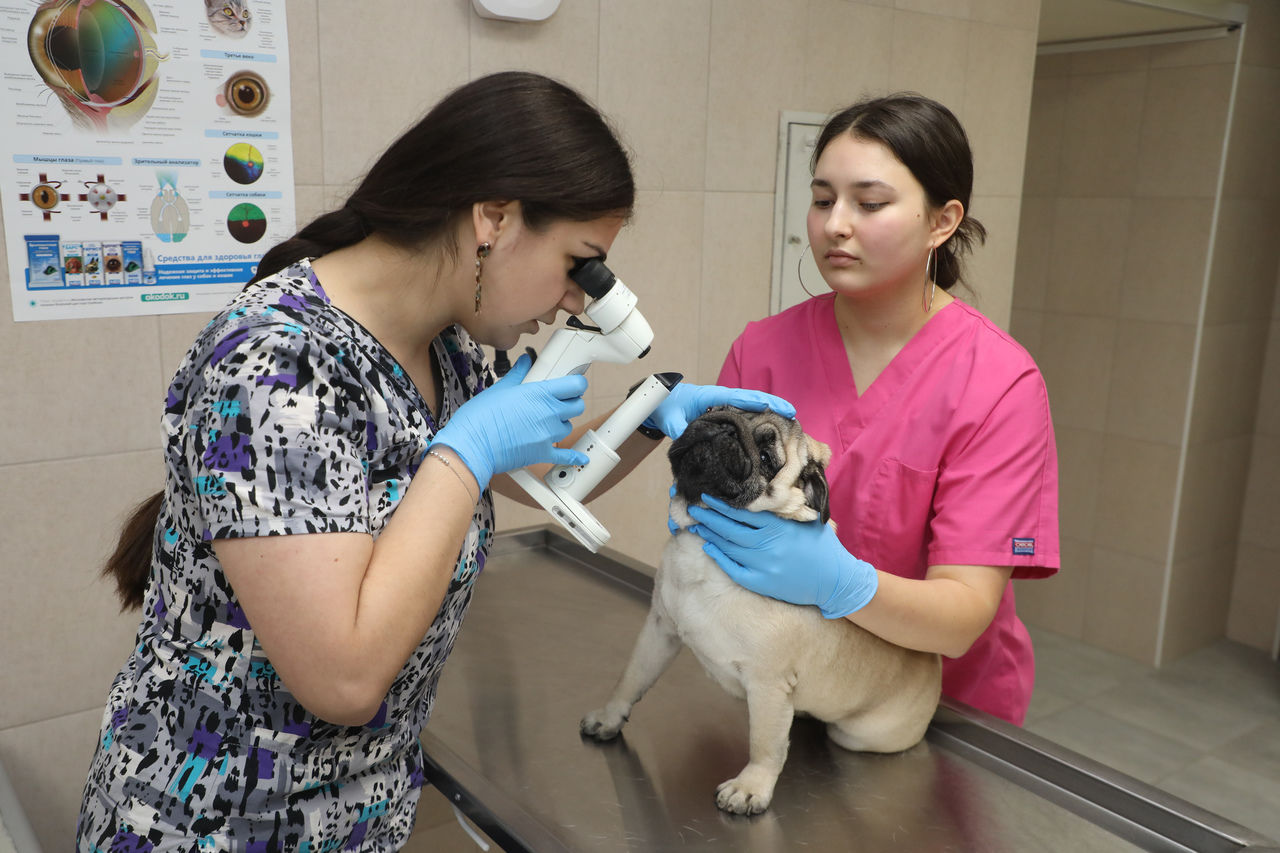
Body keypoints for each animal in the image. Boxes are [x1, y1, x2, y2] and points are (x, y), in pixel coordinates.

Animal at [581, 404, 942, 809]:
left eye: (768, 459)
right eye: (712, 407)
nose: (725, 427)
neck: (704, 550)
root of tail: (933, 666)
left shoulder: (767, 684)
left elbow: (764, 746)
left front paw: (750, 787)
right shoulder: (659, 631)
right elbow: (630, 680)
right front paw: (609, 717)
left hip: (857, 735)